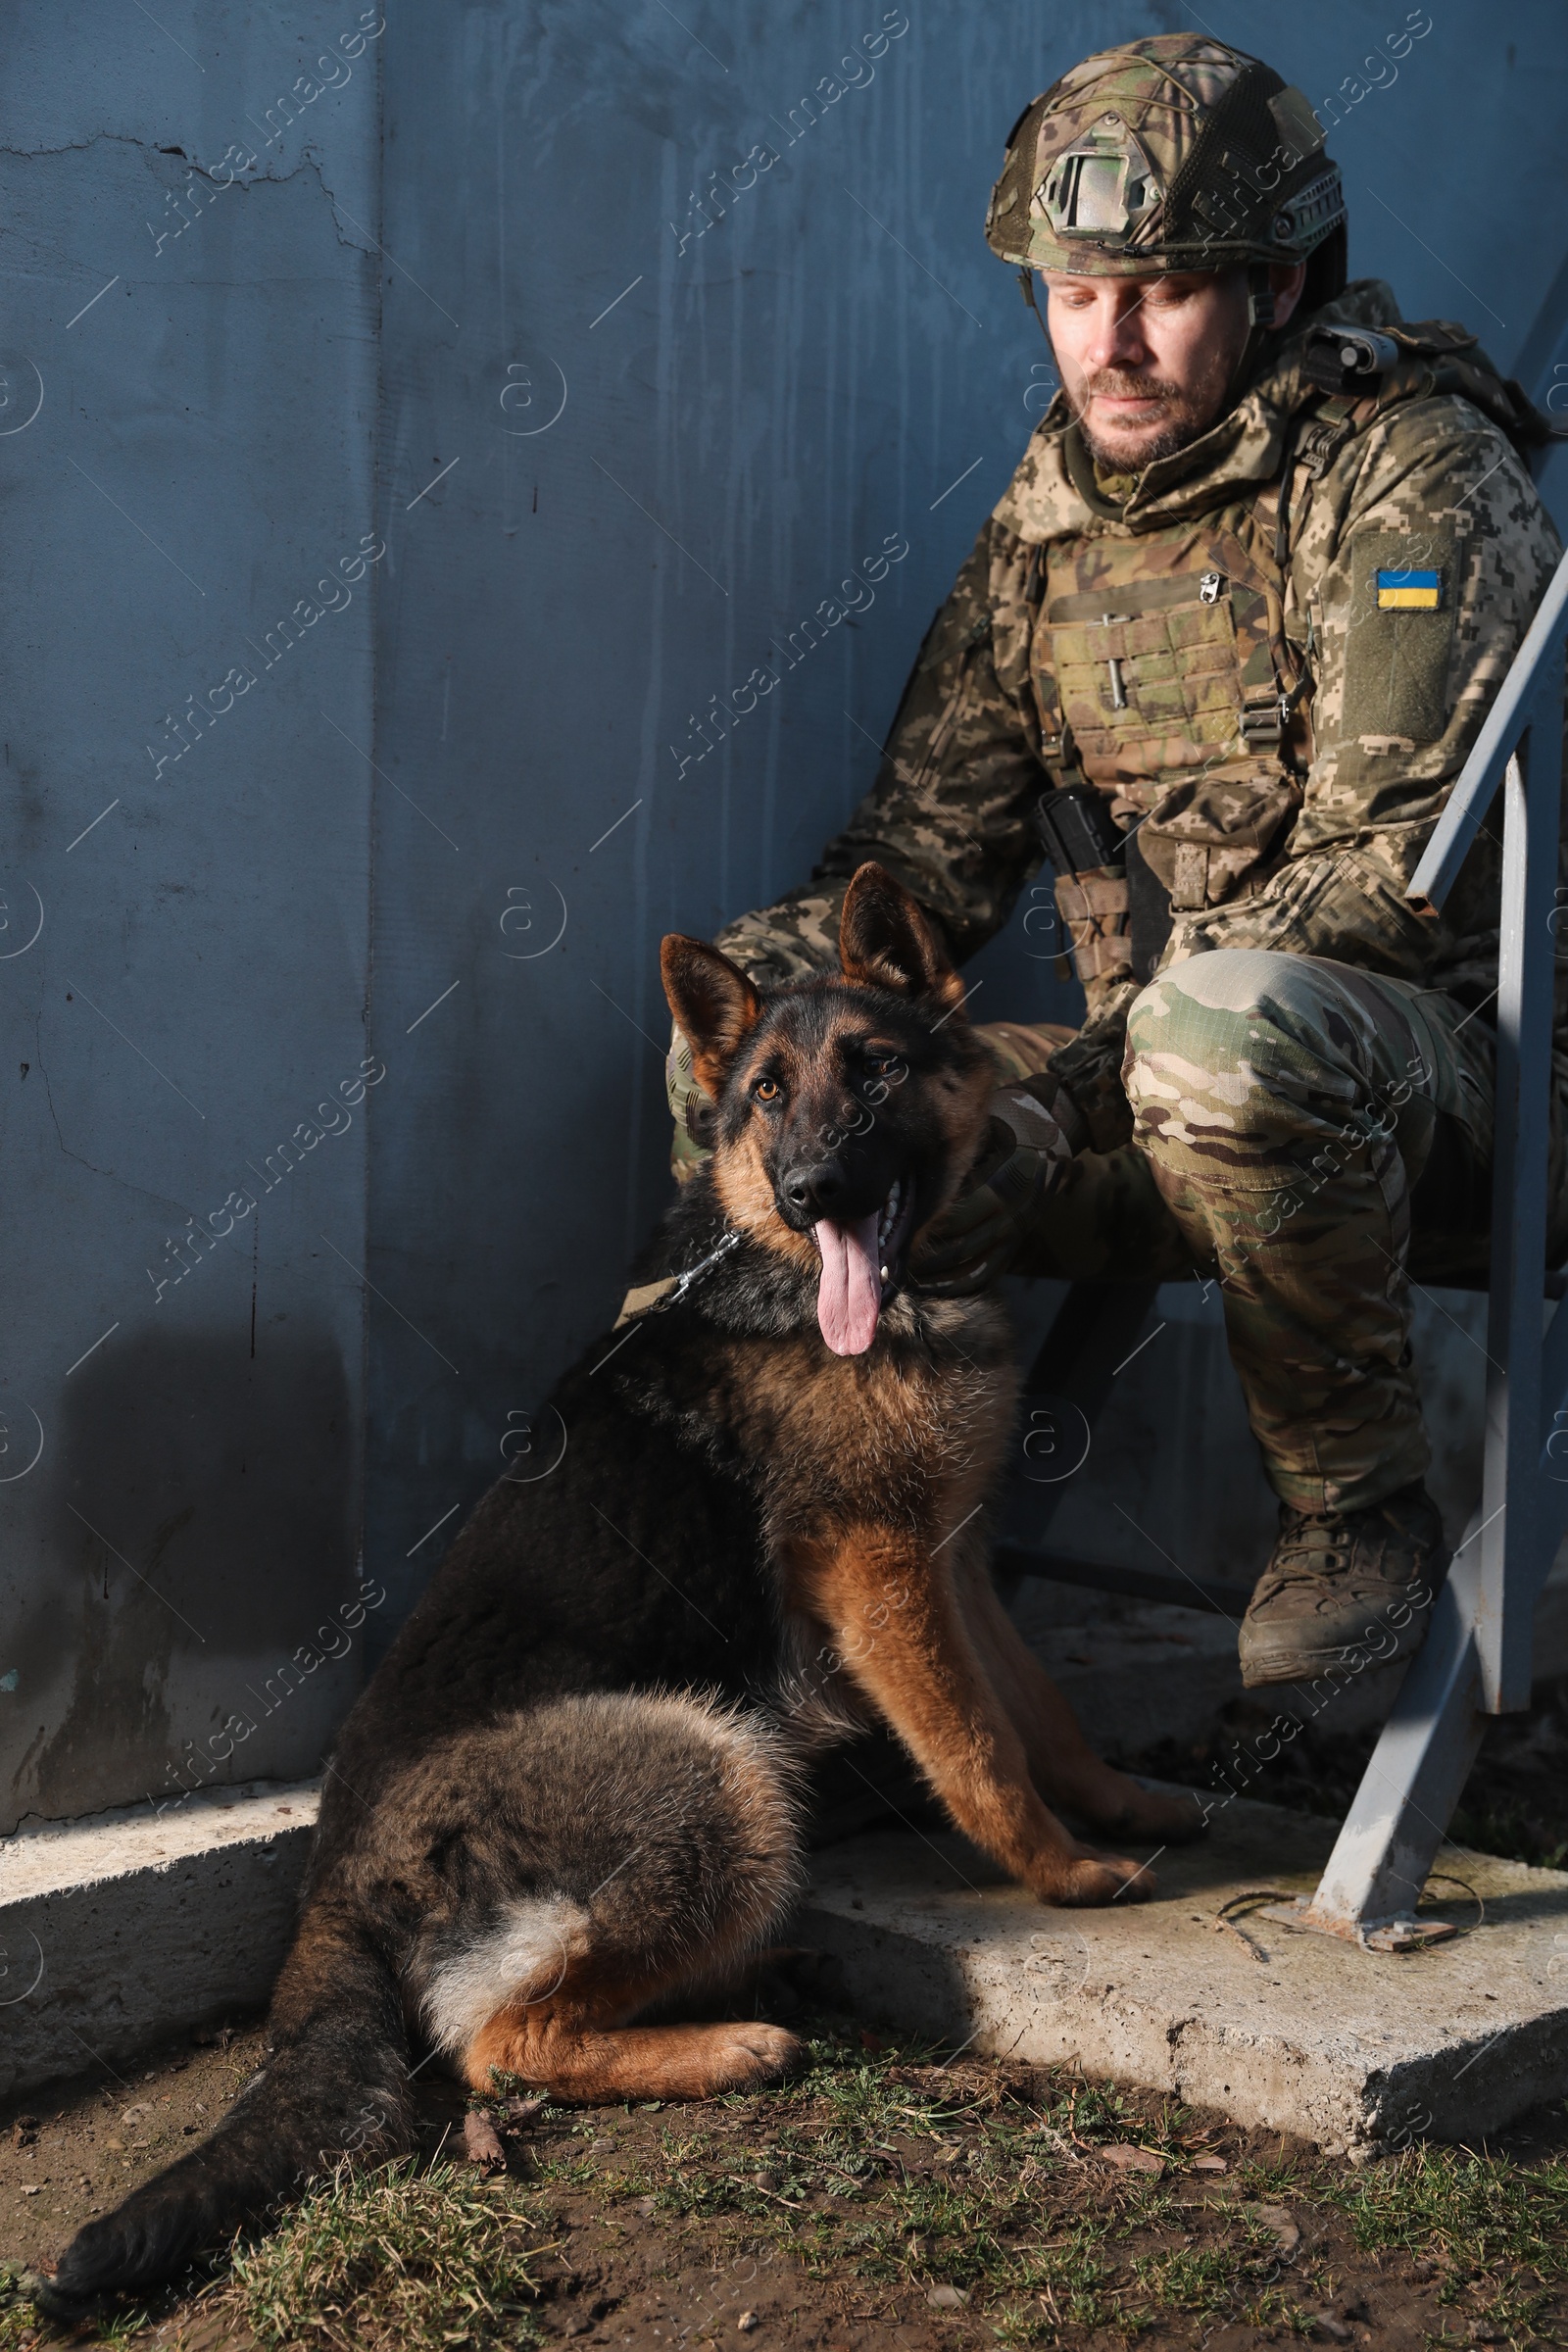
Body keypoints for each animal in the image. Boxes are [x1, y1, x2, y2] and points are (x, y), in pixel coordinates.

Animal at [49, 860, 1203, 2295]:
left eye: (877, 1070)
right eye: (766, 1093)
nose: (812, 1186)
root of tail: (334, 1879)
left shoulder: (952, 1557)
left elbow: (1039, 1704)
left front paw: (1120, 1806)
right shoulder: (882, 1568)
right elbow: (979, 1746)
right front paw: (1062, 1873)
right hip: (721, 1773)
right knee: (499, 2048)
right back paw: (733, 2044)